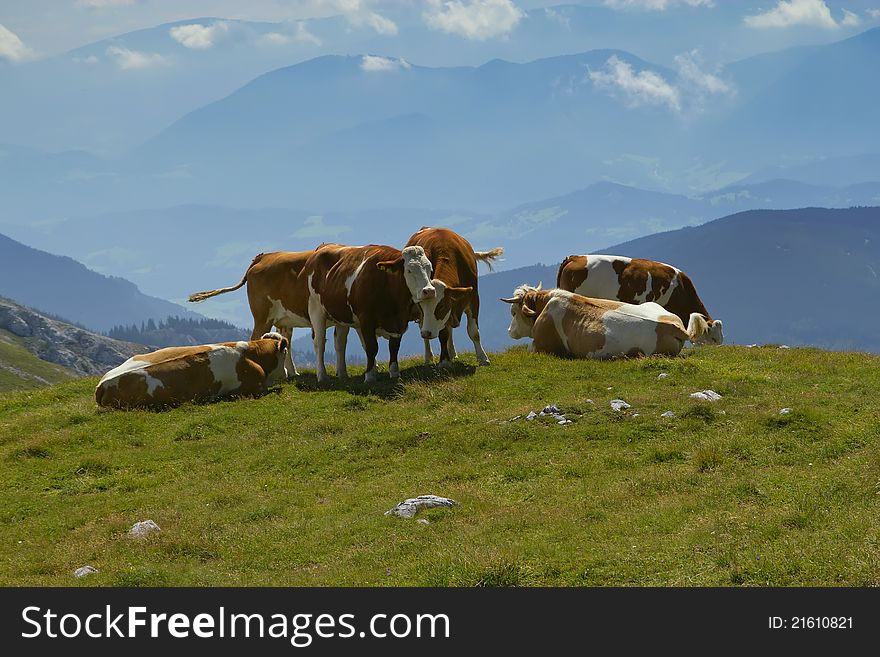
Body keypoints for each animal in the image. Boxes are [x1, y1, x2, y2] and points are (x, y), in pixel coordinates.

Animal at [302, 243, 430, 382]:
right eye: (409, 270)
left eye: (430, 268)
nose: (429, 291)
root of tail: (324, 246)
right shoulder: (366, 319)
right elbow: (371, 347)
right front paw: (369, 376)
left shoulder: (399, 323)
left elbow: (394, 347)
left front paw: (394, 372)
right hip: (315, 308)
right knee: (319, 342)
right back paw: (322, 375)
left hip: (342, 316)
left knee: (340, 342)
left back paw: (342, 373)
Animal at [398, 227, 502, 366]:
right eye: (421, 306)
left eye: (441, 306)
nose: (426, 333)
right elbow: (443, 334)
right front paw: (444, 361)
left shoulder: (473, 299)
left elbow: (474, 332)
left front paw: (483, 358)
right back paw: (429, 357)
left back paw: (452, 353)